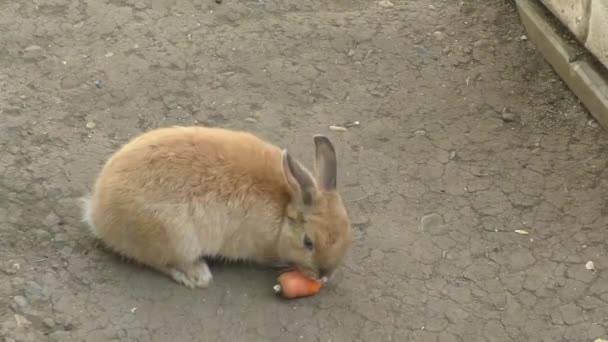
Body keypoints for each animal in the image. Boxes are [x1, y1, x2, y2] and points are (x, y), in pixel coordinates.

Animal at [81, 126, 352, 288]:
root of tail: (98, 215)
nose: (324, 275)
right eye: (308, 242)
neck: (285, 206)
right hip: (175, 237)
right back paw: (196, 275)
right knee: (159, 261)